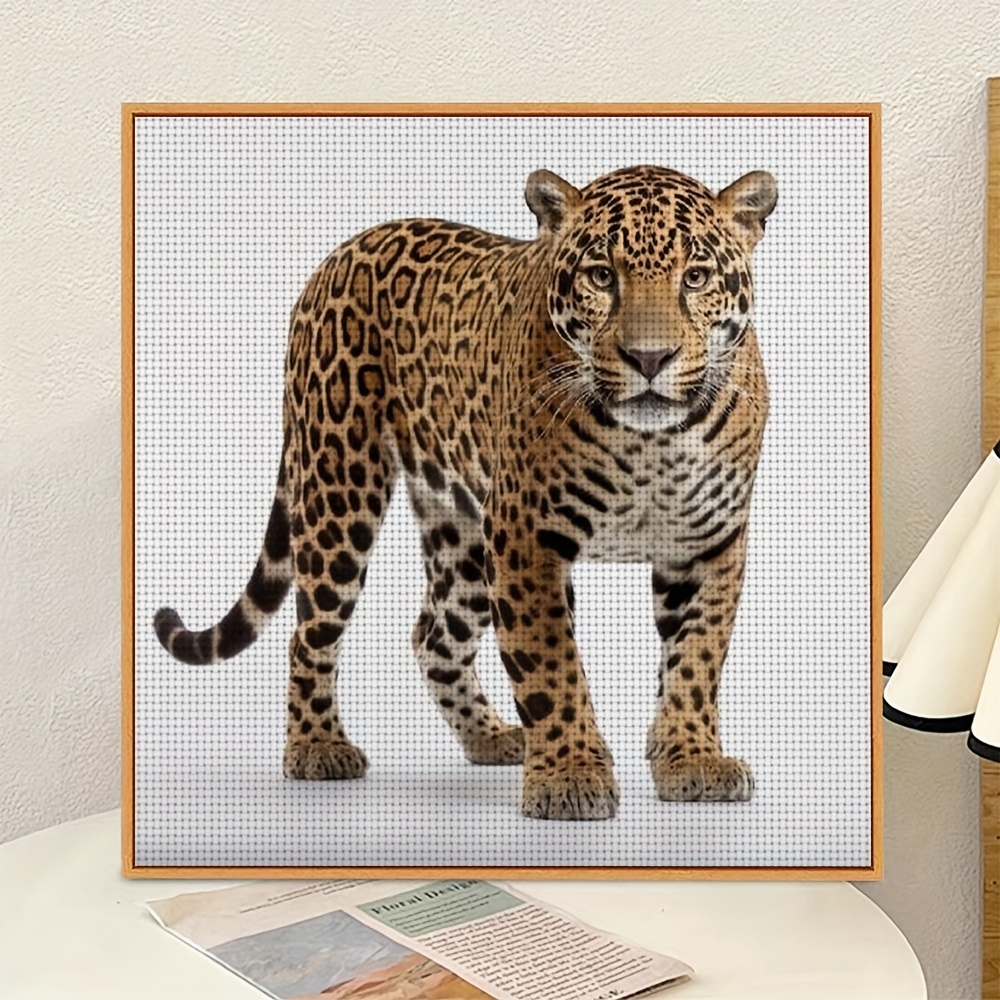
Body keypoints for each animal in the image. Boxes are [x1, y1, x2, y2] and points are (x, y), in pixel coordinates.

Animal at [154, 163, 778, 821]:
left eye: (696, 277)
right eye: (602, 276)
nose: (650, 358)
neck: (651, 445)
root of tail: (342, 251)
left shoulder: (708, 542)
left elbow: (696, 659)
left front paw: (691, 758)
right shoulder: (528, 537)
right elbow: (550, 663)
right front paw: (569, 775)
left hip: (466, 534)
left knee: (433, 637)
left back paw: (492, 737)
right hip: (339, 486)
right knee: (310, 634)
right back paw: (317, 746)